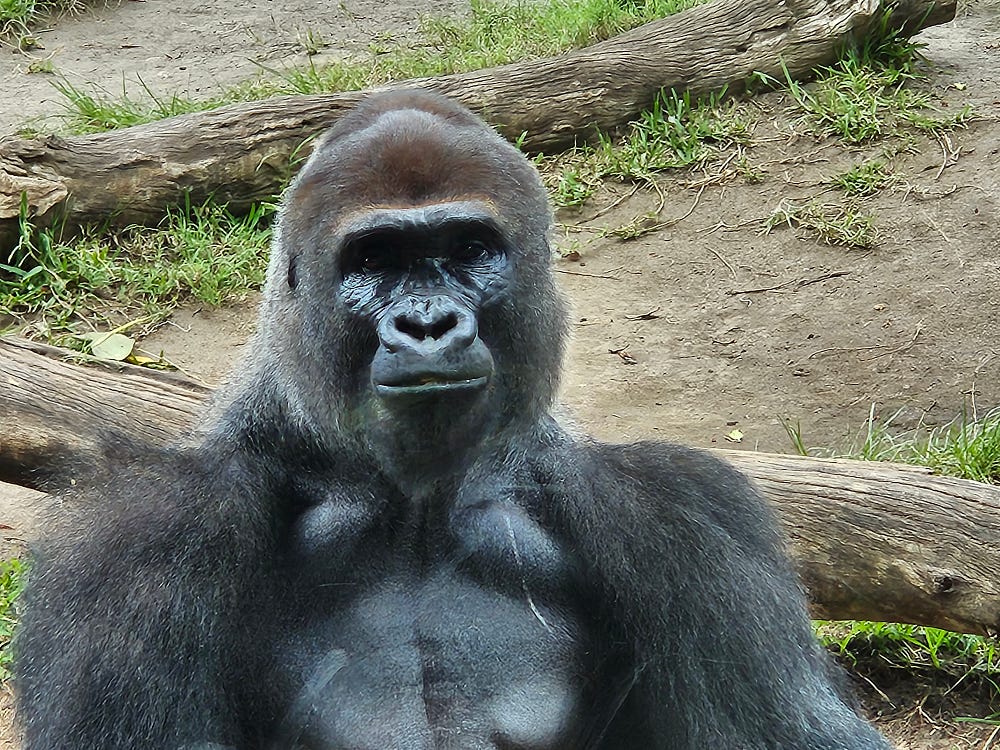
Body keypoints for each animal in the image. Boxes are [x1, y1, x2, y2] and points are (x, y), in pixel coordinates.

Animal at [13, 89, 892, 750]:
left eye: (469, 249)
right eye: (374, 260)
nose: (429, 323)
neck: (415, 505)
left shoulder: (686, 516)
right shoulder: (143, 533)